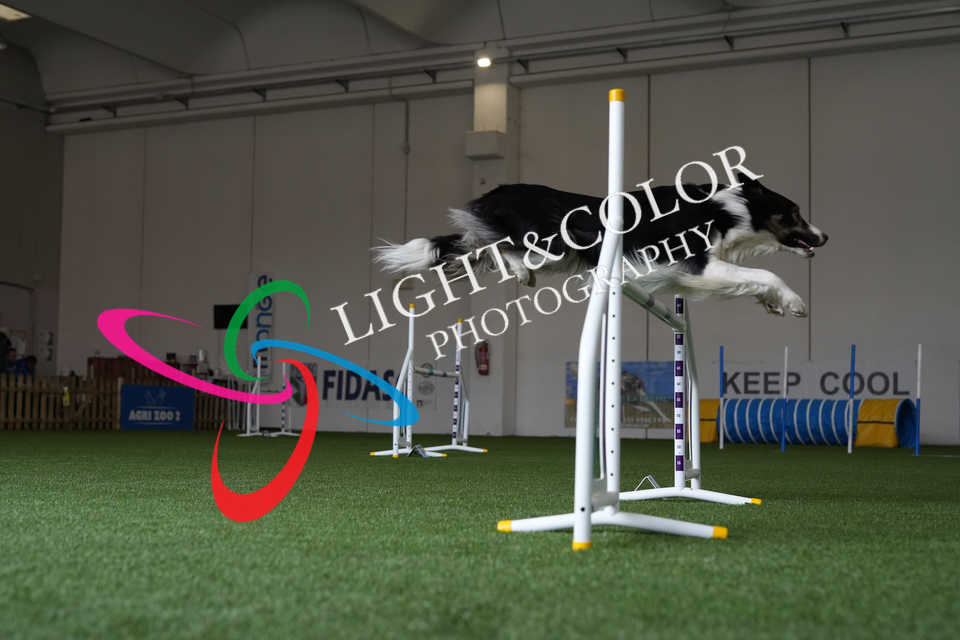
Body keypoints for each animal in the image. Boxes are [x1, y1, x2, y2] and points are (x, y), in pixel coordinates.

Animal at [373, 173, 827, 316]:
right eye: (795, 212)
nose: (825, 236)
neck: (731, 209)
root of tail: (491, 194)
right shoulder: (697, 264)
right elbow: (764, 272)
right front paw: (795, 303)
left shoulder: (686, 275)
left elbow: (752, 279)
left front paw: (773, 303)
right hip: (549, 245)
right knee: (498, 250)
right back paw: (519, 271)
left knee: (482, 251)